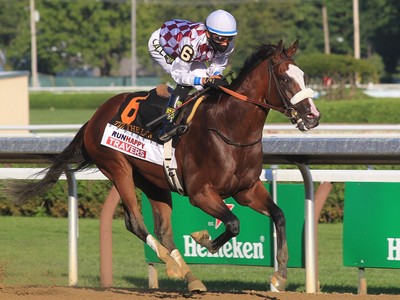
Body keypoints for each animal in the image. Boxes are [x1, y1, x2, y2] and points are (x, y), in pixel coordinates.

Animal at [9, 39, 320, 290]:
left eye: (304, 76)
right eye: (284, 78)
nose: (313, 117)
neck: (229, 129)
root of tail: (94, 116)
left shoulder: (246, 190)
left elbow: (279, 216)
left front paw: (279, 276)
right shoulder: (200, 193)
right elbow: (232, 224)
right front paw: (203, 239)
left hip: (154, 182)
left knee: (164, 232)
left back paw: (189, 276)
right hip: (117, 168)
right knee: (135, 222)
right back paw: (172, 265)